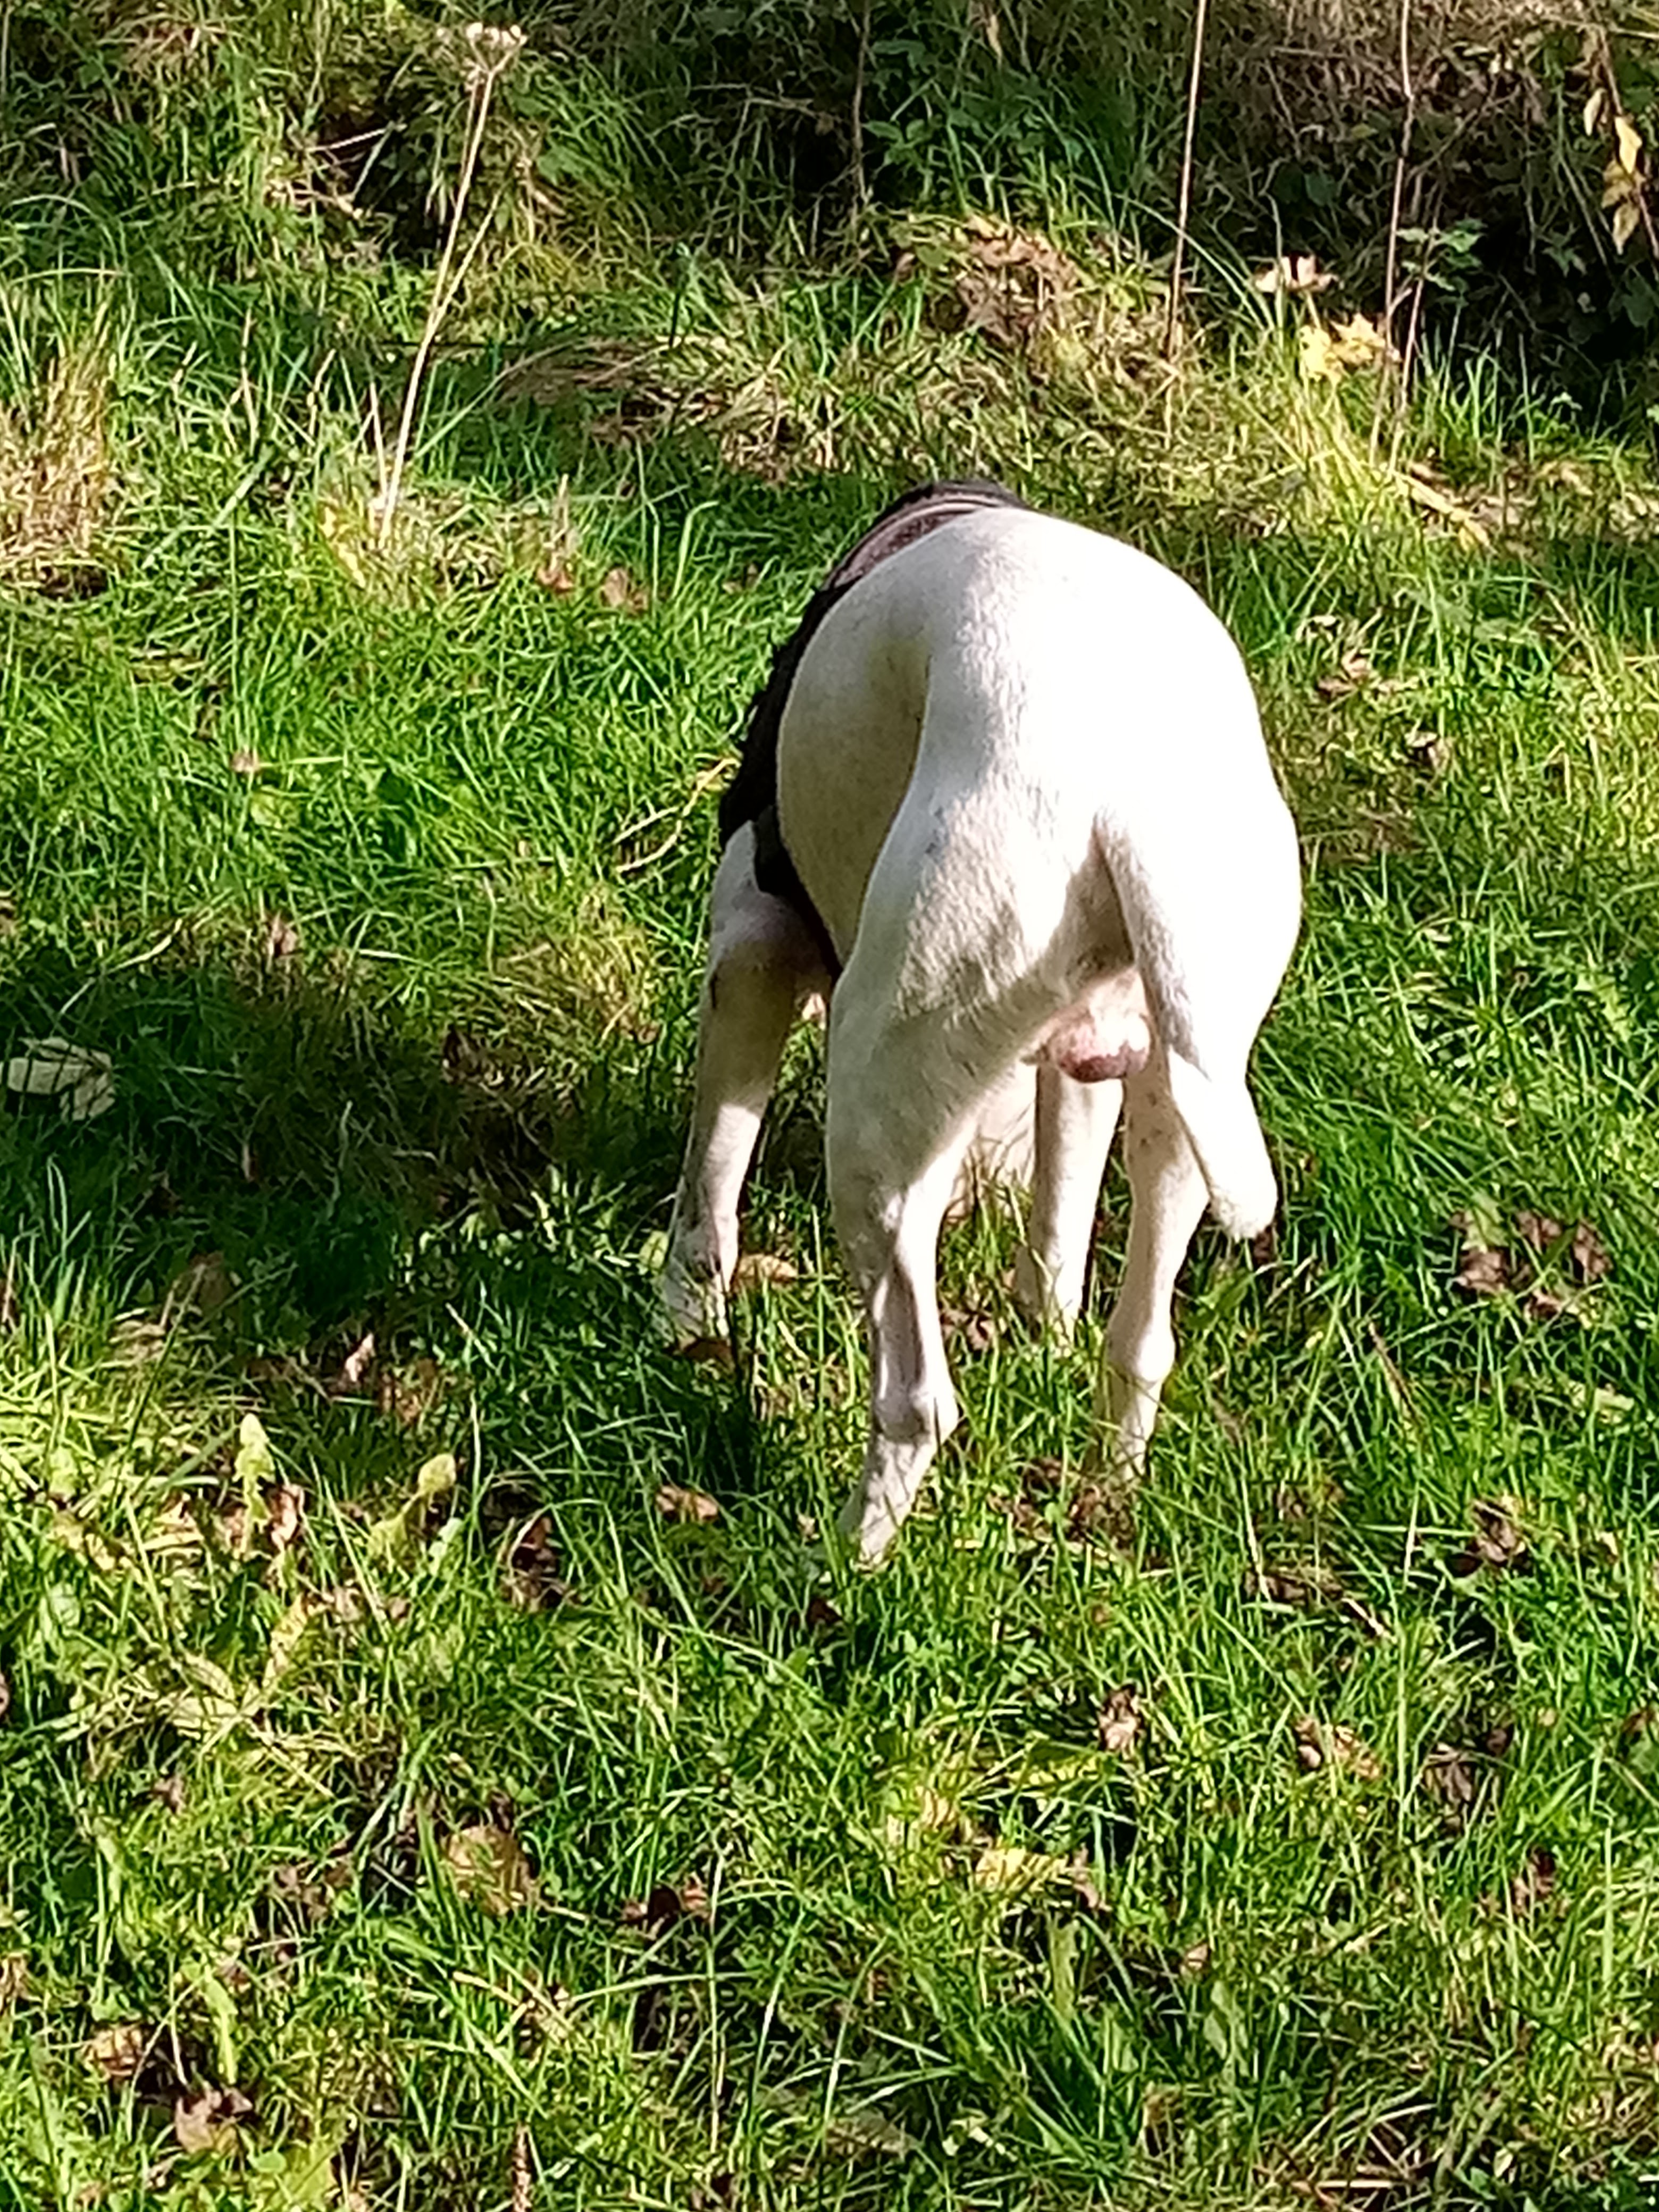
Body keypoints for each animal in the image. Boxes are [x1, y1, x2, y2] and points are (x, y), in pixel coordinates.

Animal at [660, 484, 1301, 1563]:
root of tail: (1130, 805)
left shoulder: (748, 956)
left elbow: (710, 1187)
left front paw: (686, 1325)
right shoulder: (1083, 1074)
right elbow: (1059, 1243)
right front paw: (1043, 1339)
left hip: (873, 1121)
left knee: (917, 1400)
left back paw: (846, 1559)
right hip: (1182, 1101)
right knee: (1142, 1343)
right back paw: (1108, 1495)